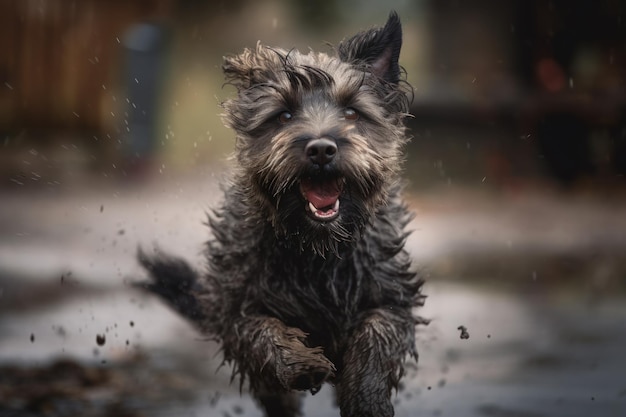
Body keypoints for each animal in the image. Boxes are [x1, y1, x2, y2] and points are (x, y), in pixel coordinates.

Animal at [139, 12, 426, 416]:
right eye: (284, 115)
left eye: (352, 112)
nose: (321, 149)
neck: (317, 249)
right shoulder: (237, 308)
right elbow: (262, 333)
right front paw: (302, 363)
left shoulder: (391, 297)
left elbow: (377, 335)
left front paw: (367, 398)